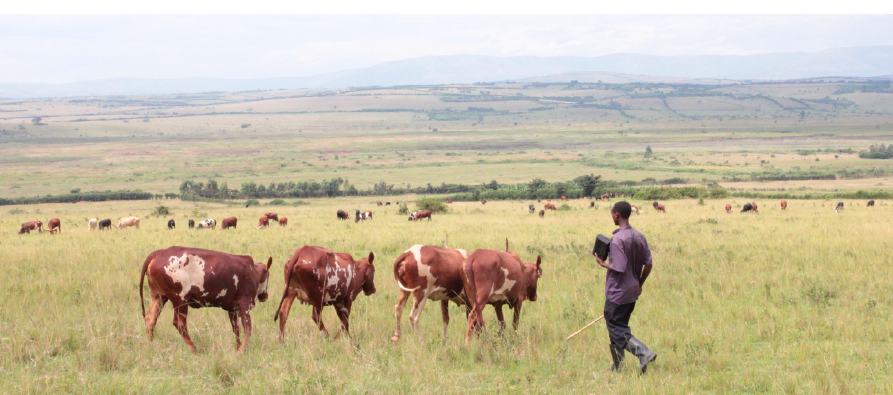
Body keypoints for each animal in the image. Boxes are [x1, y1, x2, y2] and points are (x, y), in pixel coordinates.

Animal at [138, 246, 272, 354]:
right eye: (268, 275)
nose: (265, 296)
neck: (253, 271)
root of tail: (159, 252)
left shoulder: (232, 309)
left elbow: (236, 329)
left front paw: (238, 348)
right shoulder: (244, 303)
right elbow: (248, 329)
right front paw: (242, 350)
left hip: (159, 297)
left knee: (150, 320)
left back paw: (151, 345)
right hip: (180, 300)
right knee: (180, 324)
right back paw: (194, 350)